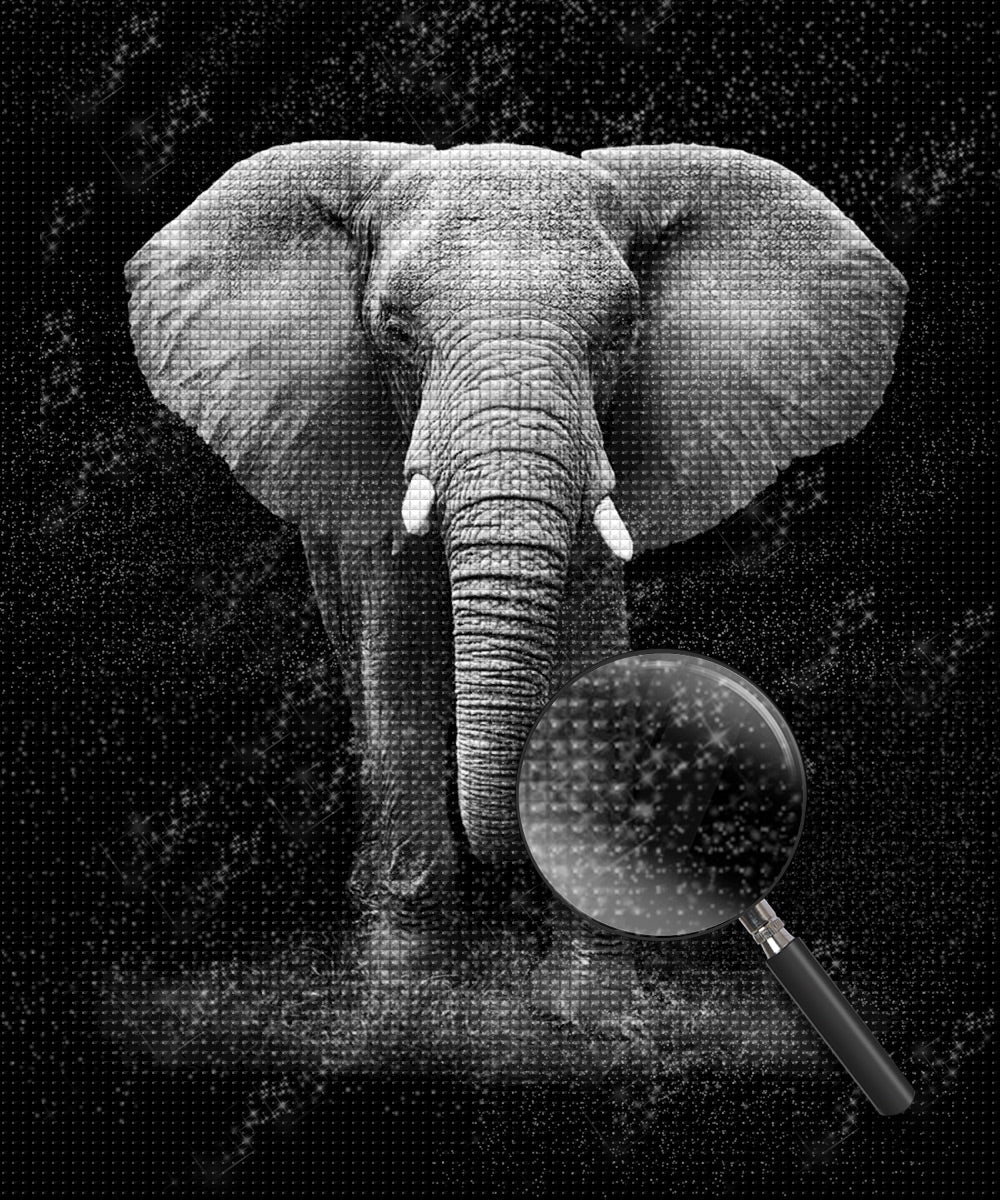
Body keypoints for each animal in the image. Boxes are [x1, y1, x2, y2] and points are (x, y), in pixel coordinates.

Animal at [124, 140, 905, 1024]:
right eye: (393, 332)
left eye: (621, 332)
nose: (513, 852)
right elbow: (401, 664)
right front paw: (403, 1006)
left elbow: (588, 650)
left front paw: (592, 1013)